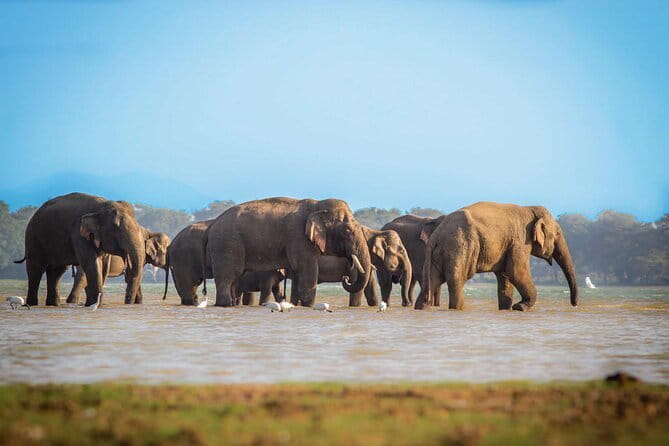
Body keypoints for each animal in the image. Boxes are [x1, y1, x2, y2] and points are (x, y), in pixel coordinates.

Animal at [15, 193, 147, 307]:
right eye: (116, 227)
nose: (128, 302)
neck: (101, 207)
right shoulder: (79, 233)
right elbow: (91, 264)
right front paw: (93, 305)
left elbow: (102, 266)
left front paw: (94, 304)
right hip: (33, 237)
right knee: (35, 269)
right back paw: (32, 304)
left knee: (57, 271)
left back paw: (52, 304)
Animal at [203, 197, 372, 307]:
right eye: (347, 231)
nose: (346, 278)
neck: (316, 205)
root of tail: (212, 225)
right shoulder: (299, 238)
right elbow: (307, 271)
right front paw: (308, 306)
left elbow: (298, 274)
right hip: (226, 245)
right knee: (227, 278)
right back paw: (225, 305)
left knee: (233, 279)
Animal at [414, 202, 578, 311]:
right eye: (558, 234)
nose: (575, 305)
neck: (529, 208)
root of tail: (436, 234)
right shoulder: (520, 240)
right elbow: (516, 271)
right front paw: (520, 307)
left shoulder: (510, 243)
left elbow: (505, 275)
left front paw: (507, 309)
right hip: (460, 246)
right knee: (456, 281)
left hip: (438, 254)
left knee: (431, 282)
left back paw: (422, 307)